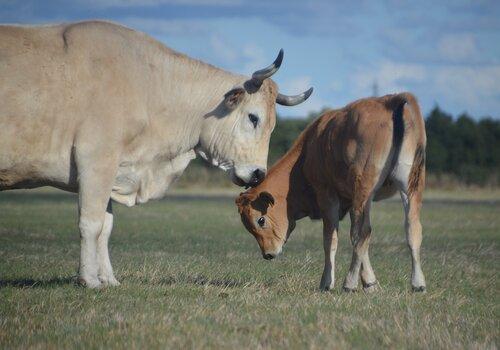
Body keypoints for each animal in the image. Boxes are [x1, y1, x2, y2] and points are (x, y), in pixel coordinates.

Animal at [235, 91, 426, 292]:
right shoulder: (350, 201)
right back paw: (418, 283)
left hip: (363, 187)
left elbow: (331, 239)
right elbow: (354, 238)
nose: (268, 254)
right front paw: (370, 283)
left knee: (364, 232)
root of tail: (389, 100)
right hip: (411, 186)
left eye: (261, 220)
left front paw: (327, 282)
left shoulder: (327, 195)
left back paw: (349, 283)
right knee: (412, 228)